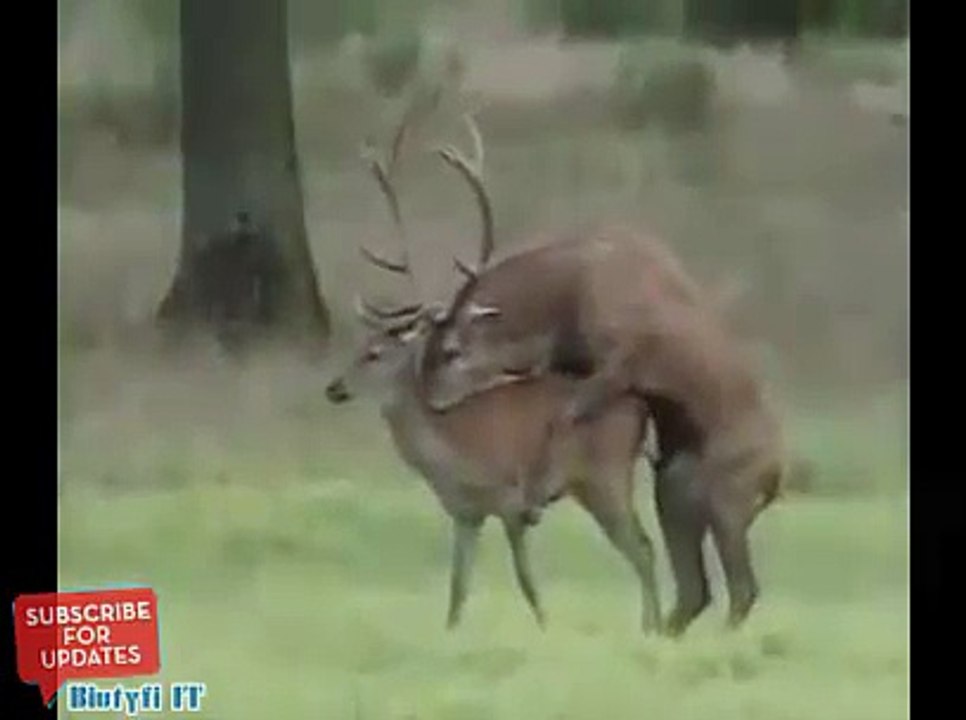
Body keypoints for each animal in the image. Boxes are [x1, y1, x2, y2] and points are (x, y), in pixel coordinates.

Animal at [325, 111, 663, 633]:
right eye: (357, 347)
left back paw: (655, 629)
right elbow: (457, 590)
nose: (334, 388)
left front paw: (546, 630)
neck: (451, 458)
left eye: (376, 354)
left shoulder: (510, 498)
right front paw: (451, 636)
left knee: (643, 549)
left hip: (604, 475)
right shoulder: (464, 515)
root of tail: (639, 407)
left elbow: (527, 583)